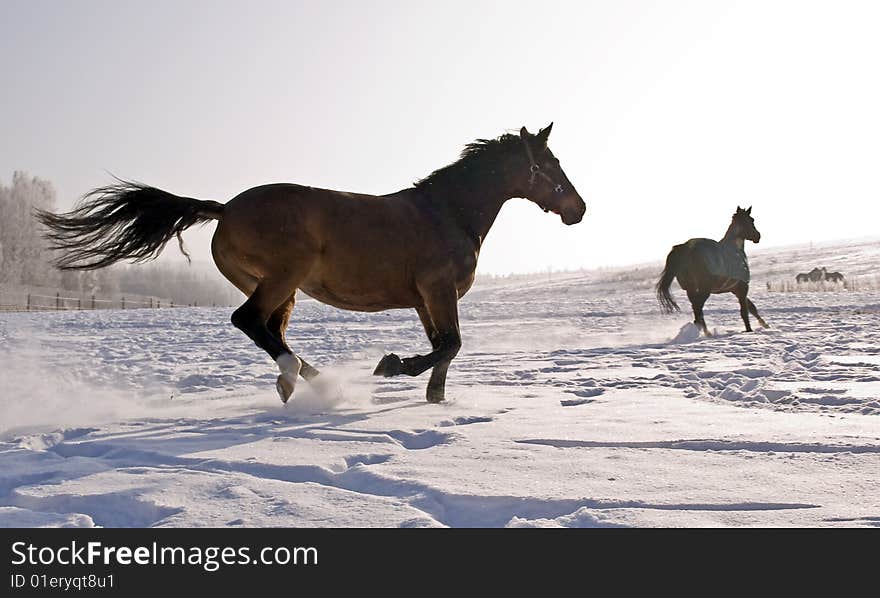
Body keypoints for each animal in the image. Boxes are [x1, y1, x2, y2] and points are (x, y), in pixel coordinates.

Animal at [37, 124, 584, 406]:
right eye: (549, 164)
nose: (578, 209)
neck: (447, 213)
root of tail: (226, 208)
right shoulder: (437, 289)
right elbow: (449, 344)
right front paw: (392, 367)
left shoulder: (426, 298)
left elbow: (444, 347)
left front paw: (435, 399)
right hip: (285, 276)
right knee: (249, 321)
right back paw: (306, 378)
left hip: (279, 288)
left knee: (269, 328)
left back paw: (303, 379)